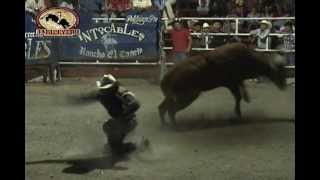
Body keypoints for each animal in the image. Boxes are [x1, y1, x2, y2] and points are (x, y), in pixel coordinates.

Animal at [159, 42, 288, 128]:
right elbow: (238, 97)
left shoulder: (235, 83)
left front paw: (240, 111)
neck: (247, 58)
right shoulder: (232, 83)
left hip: (174, 96)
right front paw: (238, 115)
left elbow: (240, 95)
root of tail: (167, 77)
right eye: (279, 72)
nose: (284, 86)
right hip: (188, 96)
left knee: (162, 107)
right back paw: (175, 126)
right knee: (171, 110)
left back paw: (165, 124)